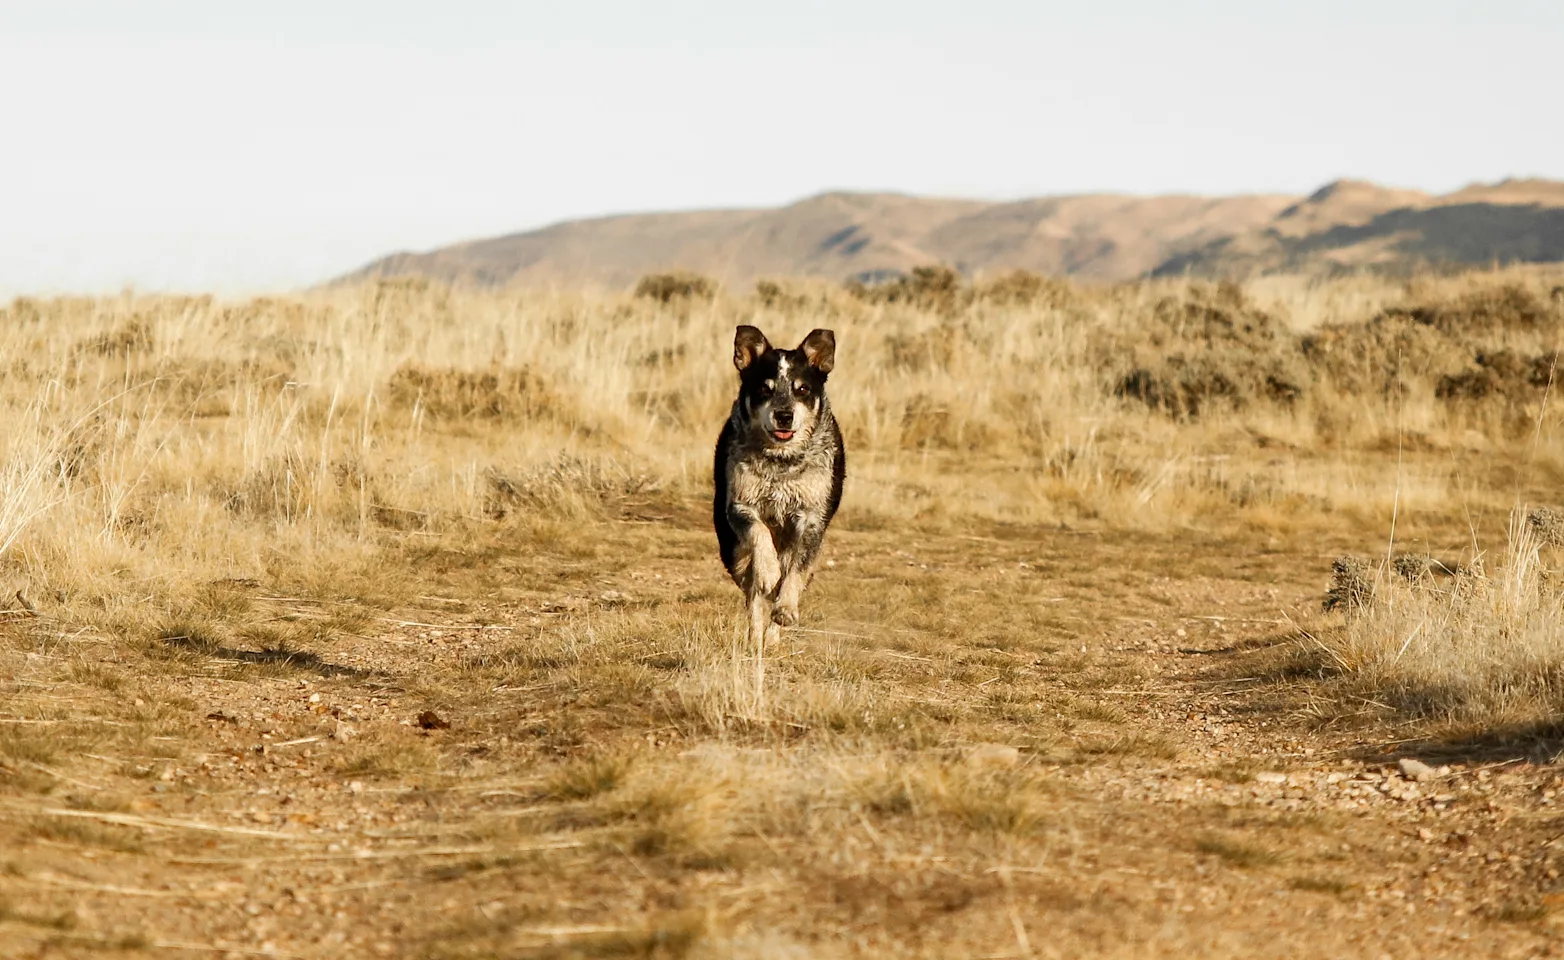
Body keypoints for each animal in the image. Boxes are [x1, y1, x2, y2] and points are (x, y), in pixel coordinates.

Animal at [716, 323, 850, 647]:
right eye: (765, 388)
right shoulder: (740, 504)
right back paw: (756, 636)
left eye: (802, 389)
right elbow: (758, 532)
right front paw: (768, 571)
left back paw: (774, 633)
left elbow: (796, 572)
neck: (782, 462)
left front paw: (786, 608)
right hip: (732, 551)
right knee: (752, 592)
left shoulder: (811, 518)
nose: (784, 416)